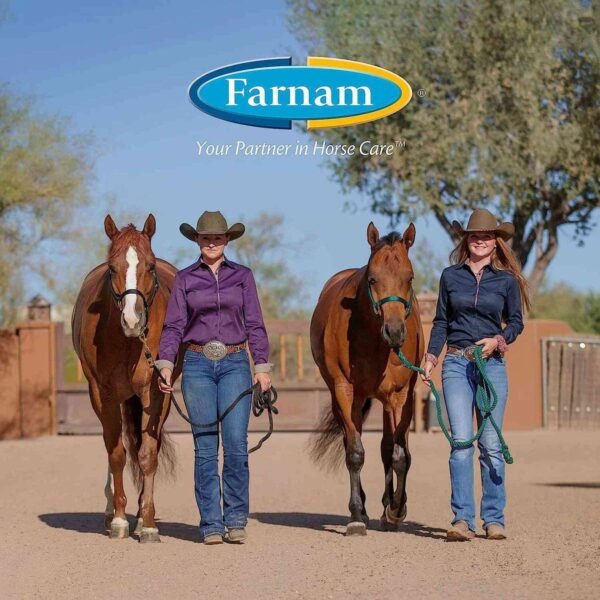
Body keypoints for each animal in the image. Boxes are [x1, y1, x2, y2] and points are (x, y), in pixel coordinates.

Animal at [72, 214, 179, 544]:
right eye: (112, 268)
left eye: (151, 266)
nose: (132, 320)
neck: (130, 343)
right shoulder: (102, 393)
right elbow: (116, 453)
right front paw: (119, 519)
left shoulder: (155, 393)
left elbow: (147, 454)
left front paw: (147, 523)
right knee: (112, 446)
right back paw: (111, 512)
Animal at [312, 220, 424, 536]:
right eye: (372, 279)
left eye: (409, 277)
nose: (395, 332)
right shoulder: (345, 391)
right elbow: (355, 452)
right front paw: (356, 515)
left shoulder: (401, 395)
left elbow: (399, 455)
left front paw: (396, 510)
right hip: (350, 400)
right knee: (354, 441)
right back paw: (361, 507)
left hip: (386, 401)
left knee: (389, 447)